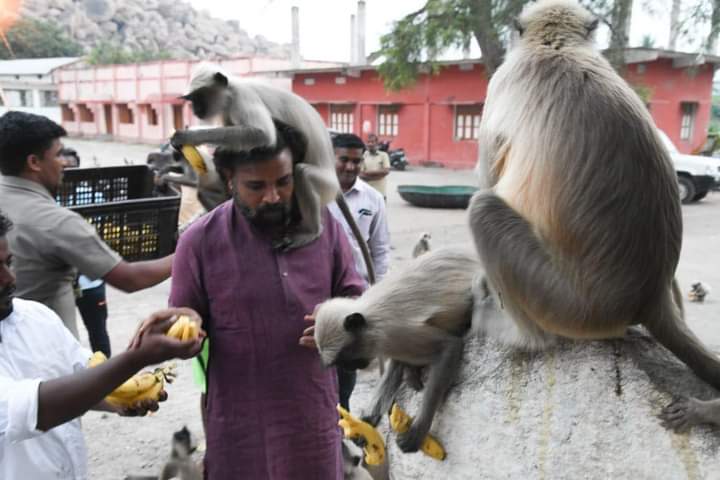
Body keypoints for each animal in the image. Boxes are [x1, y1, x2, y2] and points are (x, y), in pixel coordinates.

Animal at [314, 249, 478, 452]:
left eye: (345, 359)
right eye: (339, 362)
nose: (348, 369)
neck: (370, 317)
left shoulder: (392, 333)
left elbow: (449, 346)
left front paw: (418, 430)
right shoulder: (386, 341)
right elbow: (394, 366)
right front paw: (367, 422)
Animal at [466, 0, 720, 418]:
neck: (558, 46)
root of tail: (649, 294)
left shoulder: (502, 81)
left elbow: (489, 178)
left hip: (569, 303)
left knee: (483, 208)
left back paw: (526, 339)